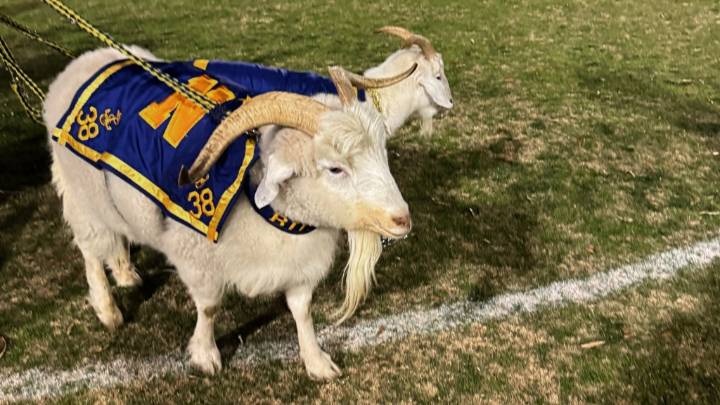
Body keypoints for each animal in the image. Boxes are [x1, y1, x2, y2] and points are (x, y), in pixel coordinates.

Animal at [44, 47, 411, 380]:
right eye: (335, 169)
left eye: (381, 151)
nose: (402, 220)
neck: (259, 207)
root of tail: (81, 64)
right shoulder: (198, 262)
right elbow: (209, 308)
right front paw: (205, 355)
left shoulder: (300, 267)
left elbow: (302, 311)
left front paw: (317, 362)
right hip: (83, 196)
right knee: (91, 250)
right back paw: (108, 310)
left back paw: (124, 272)